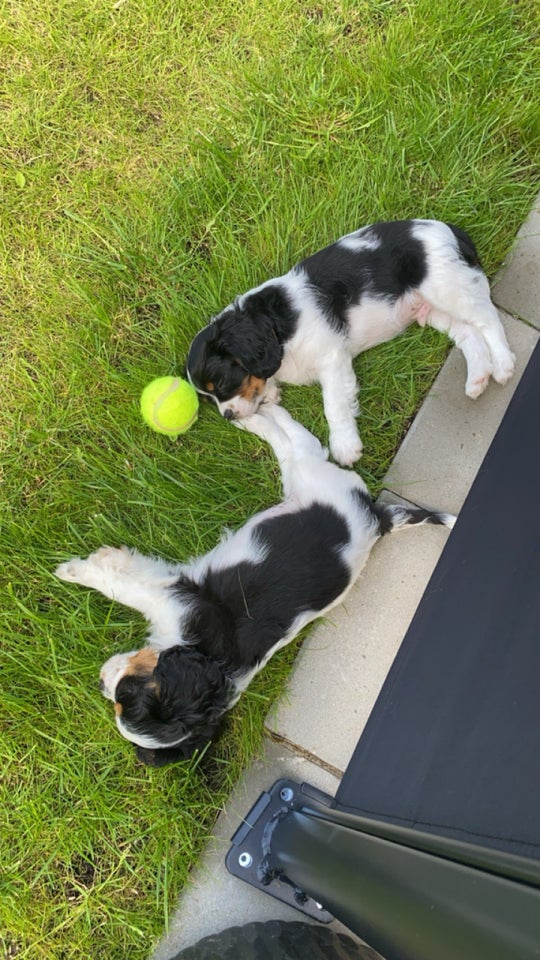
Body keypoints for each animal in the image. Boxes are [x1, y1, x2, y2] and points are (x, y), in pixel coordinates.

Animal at [54, 404, 454, 764]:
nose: (100, 682)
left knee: (299, 444)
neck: (209, 657)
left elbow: (125, 586)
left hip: (311, 477)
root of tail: (375, 515)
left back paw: (256, 418)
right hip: (300, 486)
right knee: (293, 444)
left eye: (123, 696)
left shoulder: (177, 594)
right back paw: (260, 414)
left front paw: (76, 570)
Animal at [186, 222, 516, 468]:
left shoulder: (332, 359)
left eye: (221, 383)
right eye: (208, 398)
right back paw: (478, 377)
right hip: (434, 309)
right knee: (469, 334)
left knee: (488, 319)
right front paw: (269, 393)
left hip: (449, 288)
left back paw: (502, 365)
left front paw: (344, 446)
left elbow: (334, 404)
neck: (277, 324)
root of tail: (448, 229)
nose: (227, 416)